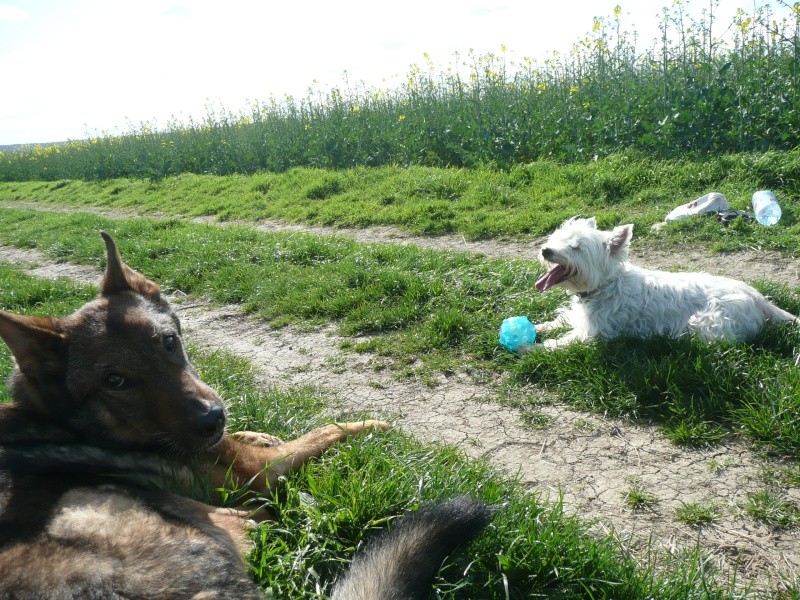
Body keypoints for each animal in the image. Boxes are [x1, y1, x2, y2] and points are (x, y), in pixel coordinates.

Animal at [0, 233, 494, 600]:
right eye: (115, 381)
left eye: (168, 342)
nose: (210, 419)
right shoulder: (260, 473)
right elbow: (325, 430)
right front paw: (373, 425)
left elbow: (258, 435)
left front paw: (258, 432)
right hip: (216, 520)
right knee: (269, 519)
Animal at [528, 217, 796, 350]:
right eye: (557, 238)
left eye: (576, 247)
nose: (546, 250)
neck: (605, 285)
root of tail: (759, 299)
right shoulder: (579, 317)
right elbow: (556, 322)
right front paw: (537, 327)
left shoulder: (596, 332)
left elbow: (563, 342)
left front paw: (531, 348)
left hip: (708, 322)